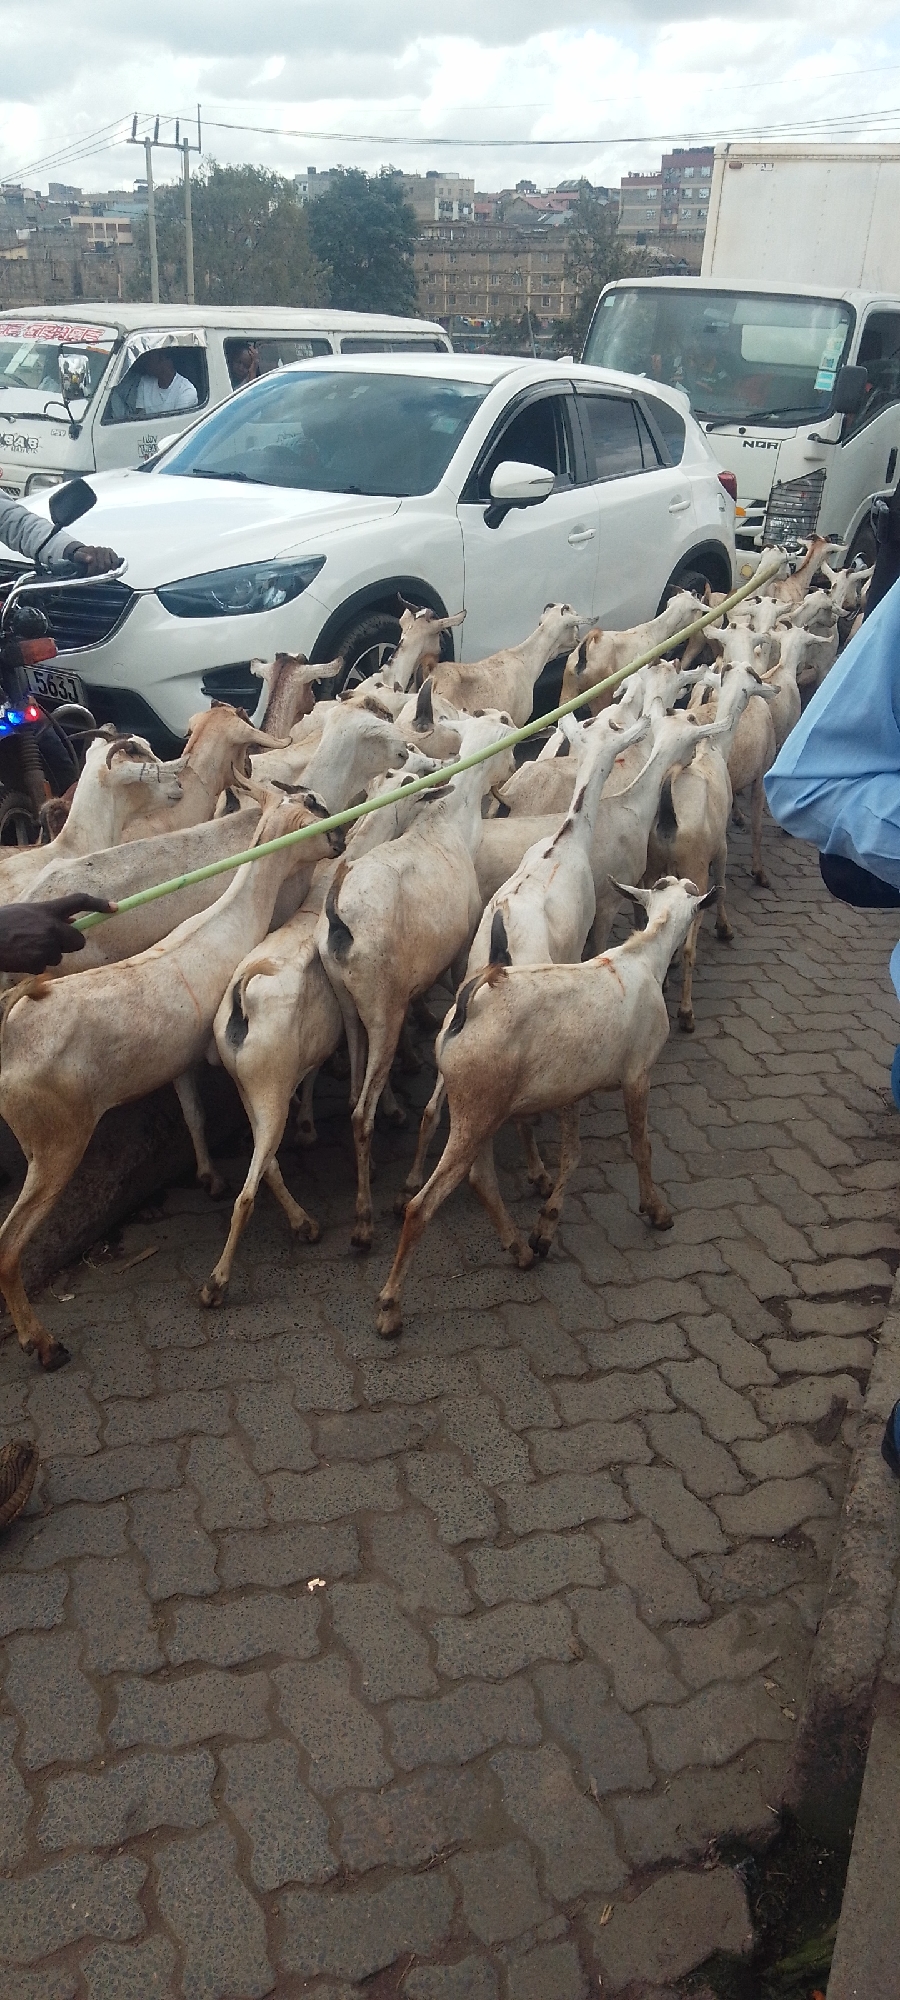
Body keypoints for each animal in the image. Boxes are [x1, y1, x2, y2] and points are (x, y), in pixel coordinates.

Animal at [0, 792, 342, 1370]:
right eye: (318, 815)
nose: (342, 841)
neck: (228, 919)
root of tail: (10, 1033)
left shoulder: (183, 1062)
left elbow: (195, 1116)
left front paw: (209, 1176)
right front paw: (297, 1223)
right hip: (54, 1144)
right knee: (8, 1244)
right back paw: (42, 1343)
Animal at [316, 713, 515, 1249]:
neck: (446, 823)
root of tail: (339, 917)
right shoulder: (460, 950)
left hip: (348, 1005)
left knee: (351, 1096)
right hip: (381, 1007)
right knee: (359, 1112)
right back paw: (364, 1221)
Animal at [376, 876, 716, 1338]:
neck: (642, 959)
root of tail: (467, 1008)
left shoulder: (571, 1090)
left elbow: (572, 1155)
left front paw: (546, 1226)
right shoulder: (637, 1075)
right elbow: (641, 1148)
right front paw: (656, 1210)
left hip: (480, 1109)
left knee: (481, 1179)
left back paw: (519, 1249)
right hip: (478, 1109)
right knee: (422, 1207)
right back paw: (390, 1306)